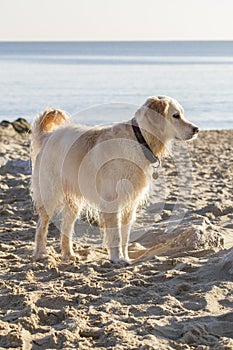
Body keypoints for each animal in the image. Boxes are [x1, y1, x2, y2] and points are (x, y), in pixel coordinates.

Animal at [30, 95, 198, 262]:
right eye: (175, 115)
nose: (196, 129)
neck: (140, 140)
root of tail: (48, 136)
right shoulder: (112, 201)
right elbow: (115, 234)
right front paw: (117, 258)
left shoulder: (130, 203)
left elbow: (125, 235)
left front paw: (126, 257)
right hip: (49, 194)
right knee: (41, 225)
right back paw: (40, 253)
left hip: (73, 201)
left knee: (66, 226)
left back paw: (69, 254)